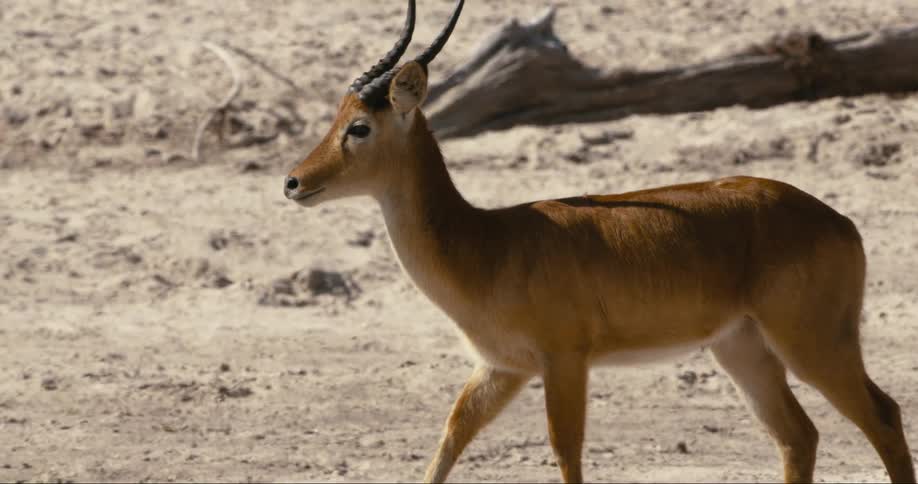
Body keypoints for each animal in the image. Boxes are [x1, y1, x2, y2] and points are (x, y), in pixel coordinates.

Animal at [283, 1, 915, 482]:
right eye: (336, 116)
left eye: (359, 126)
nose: (292, 181)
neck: (488, 244)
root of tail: (839, 220)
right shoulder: (500, 369)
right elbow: (450, 437)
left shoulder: (564, 361)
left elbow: (565, 450)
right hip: (743, 349)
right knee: (798, 435)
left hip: (813, 343)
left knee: (883, 414)